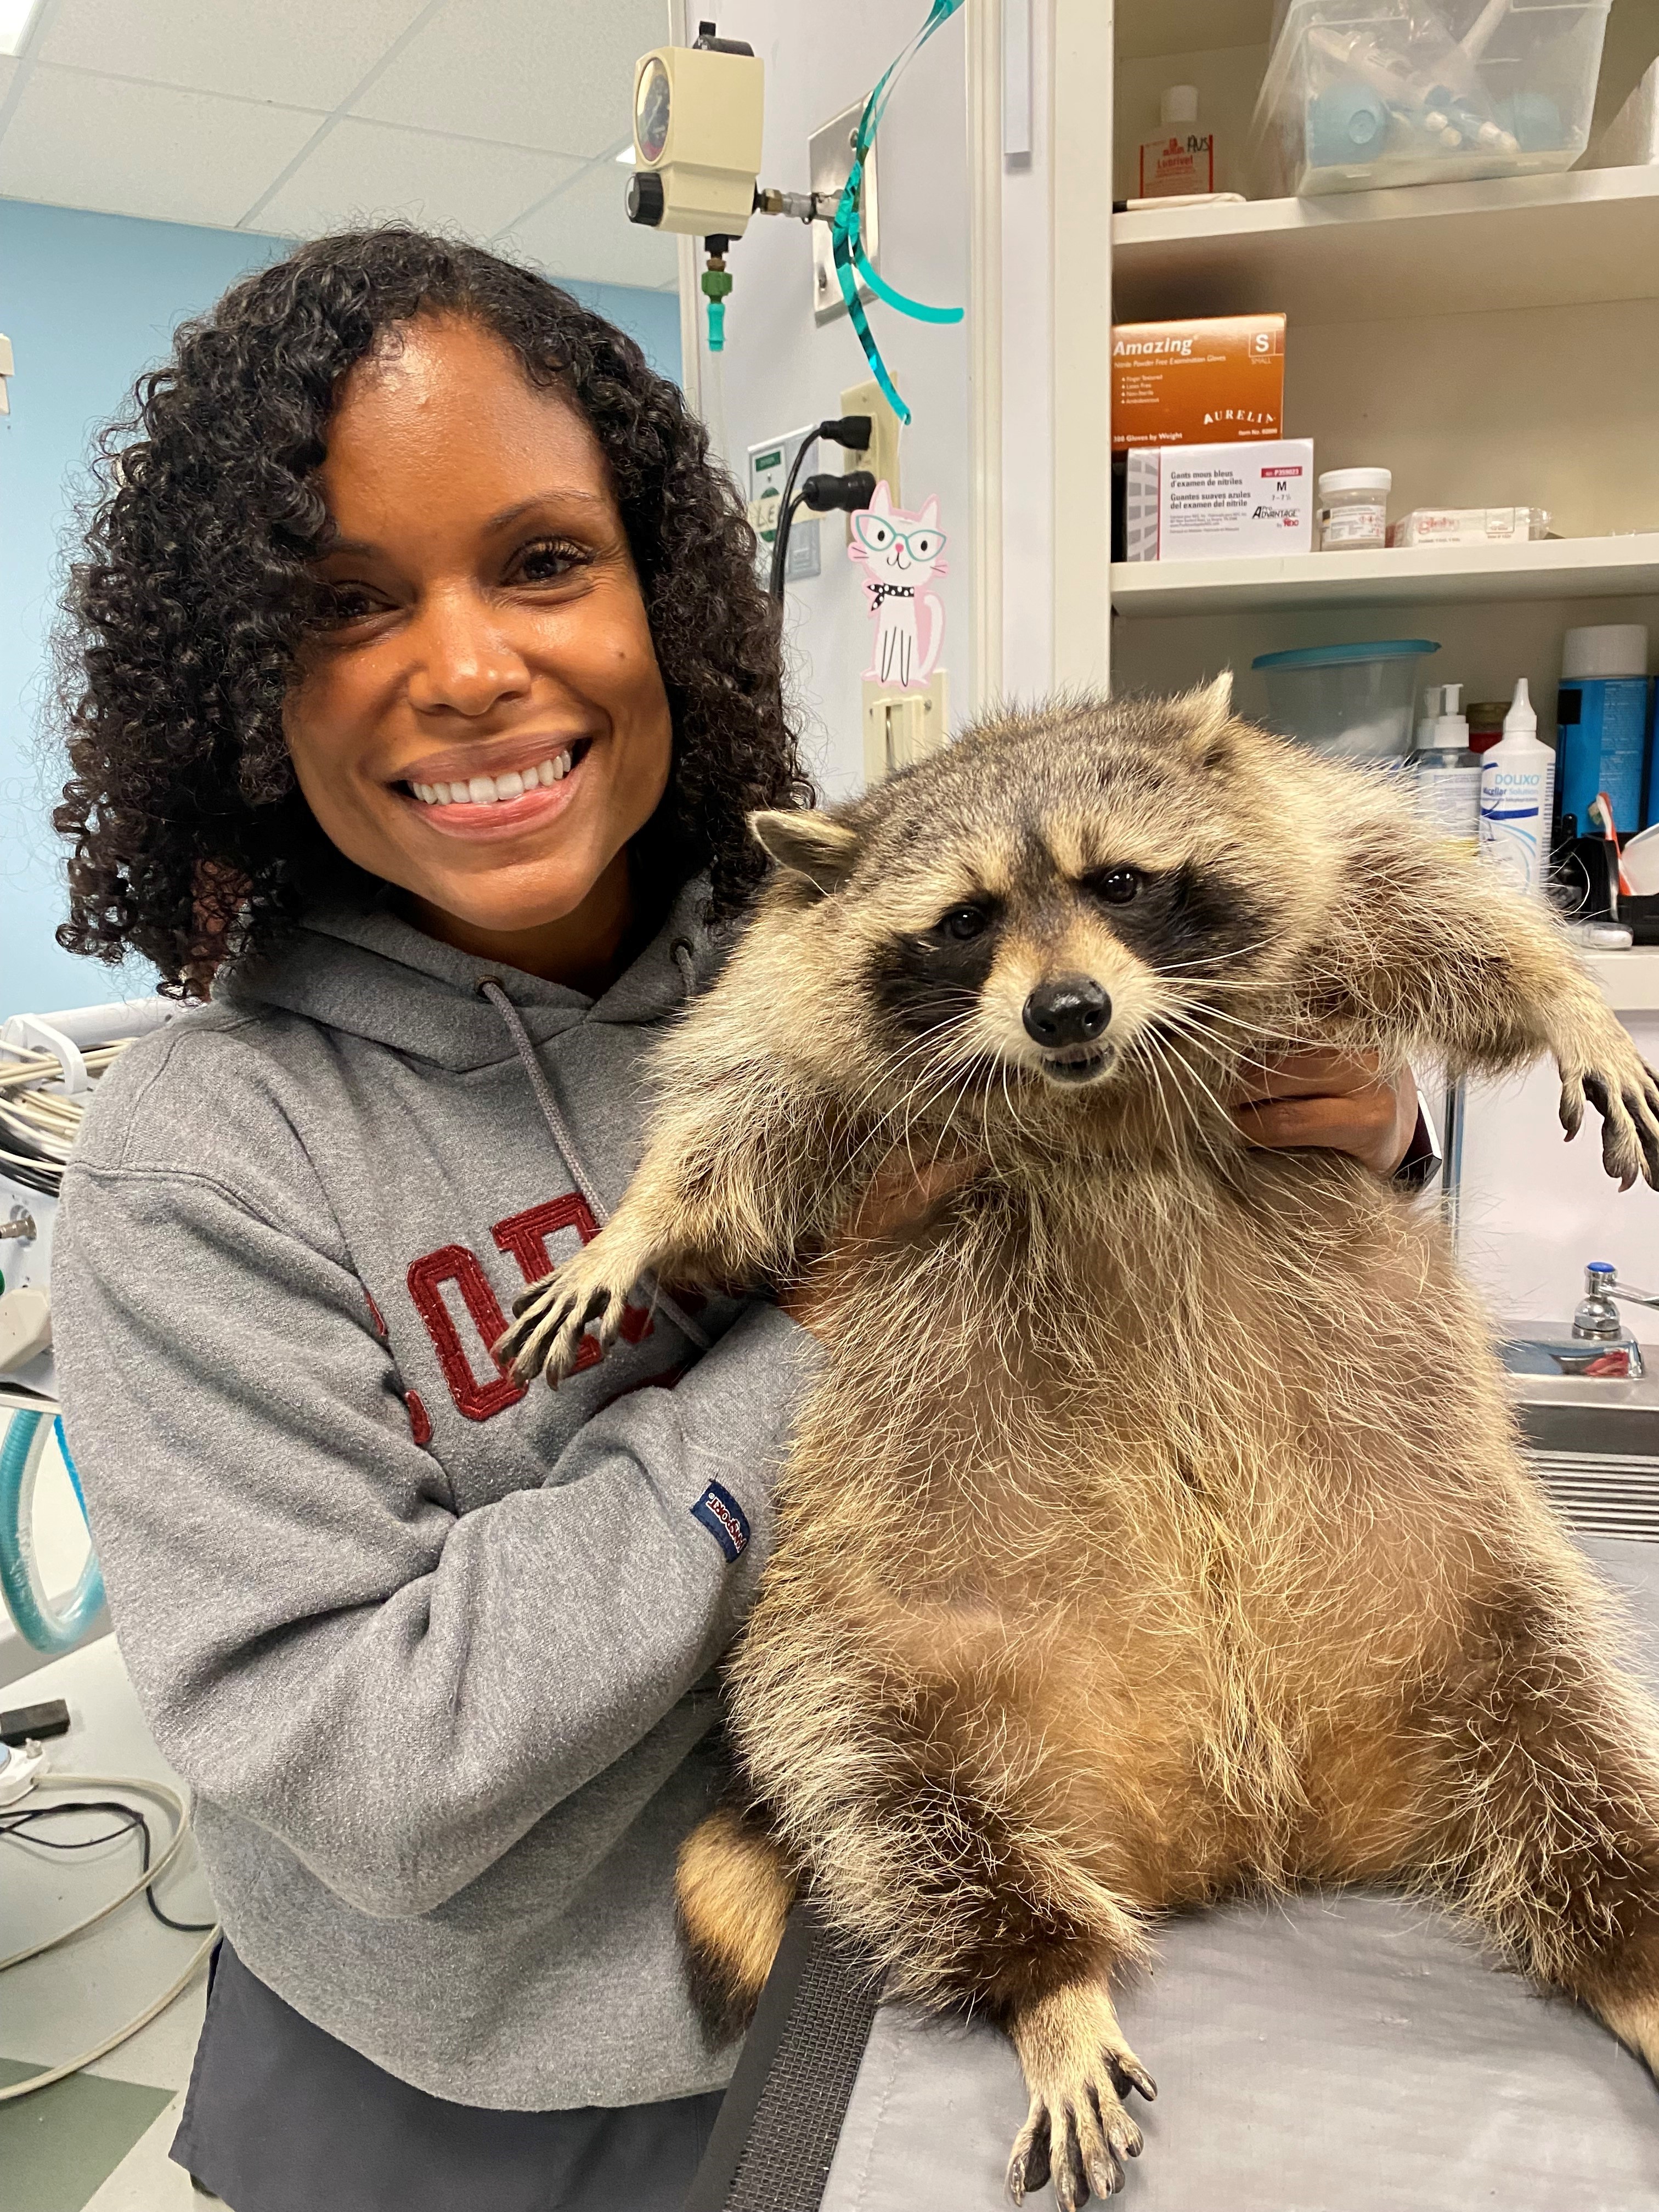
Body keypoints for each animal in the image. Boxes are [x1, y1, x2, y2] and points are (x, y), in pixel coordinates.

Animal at [504, 681, 1659, 2203]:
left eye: (1121, 884)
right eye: (965, 919)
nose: (1067, 1008)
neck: (1090, 1090)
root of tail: (1248, 1831)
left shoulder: (1320, 855)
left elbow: (1446, 917)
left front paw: (1574, 995)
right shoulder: (795, 1014)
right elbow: (727, 1129)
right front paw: (634, 1226)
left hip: (1488, 1609)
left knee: (1580, 1748)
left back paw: (1636, 1941)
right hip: (876, 1658)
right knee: (880, 1789)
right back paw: (1045, 1974)